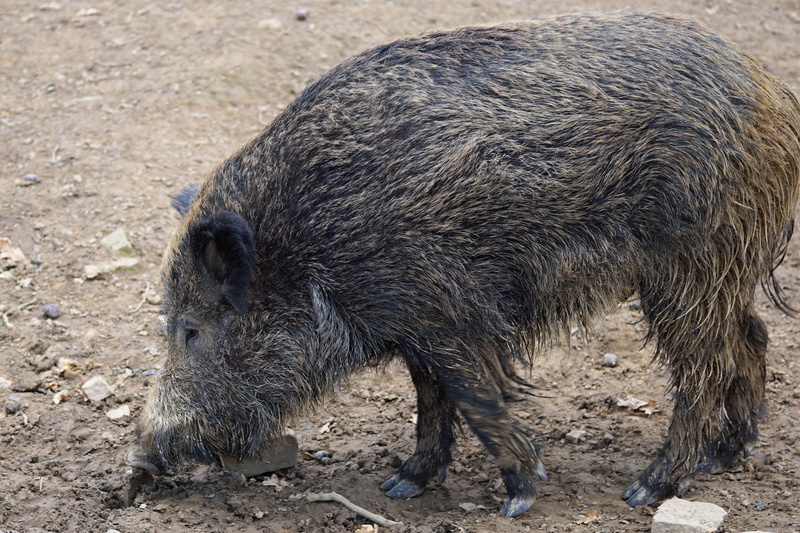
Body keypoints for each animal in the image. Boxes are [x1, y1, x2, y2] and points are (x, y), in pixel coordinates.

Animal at [127, 10, 800, 518]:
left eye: (190, 330)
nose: (140, 460)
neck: (308, 243)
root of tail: (773, 94)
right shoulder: (415, 322)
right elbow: (430, 397)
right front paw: (401, 485)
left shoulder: (447, 310)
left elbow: (471, 394)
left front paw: (520, 497)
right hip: (722, 269)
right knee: (751, 336)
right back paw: (725, 456)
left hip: (691, 265)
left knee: (706, 366)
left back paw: (647, 489)